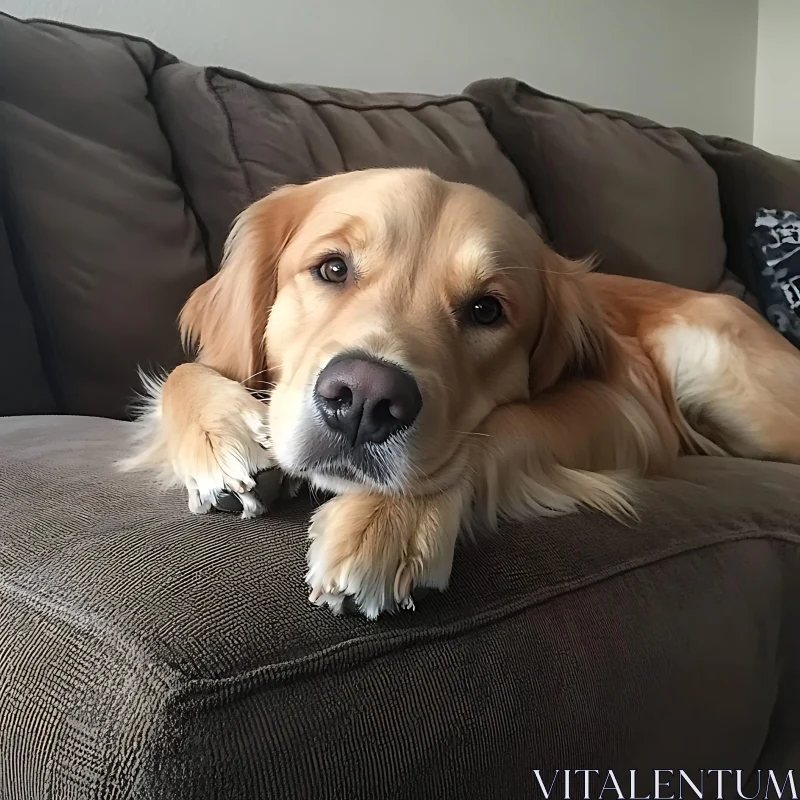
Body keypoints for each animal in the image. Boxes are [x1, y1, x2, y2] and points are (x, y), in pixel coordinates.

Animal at [122, 169, 800, 620]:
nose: (364, 402)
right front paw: (220, 437)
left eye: (486, 309)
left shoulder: (629, 405)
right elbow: (184, 372)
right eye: (333, 268)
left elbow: (497, 427)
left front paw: (389, 521)